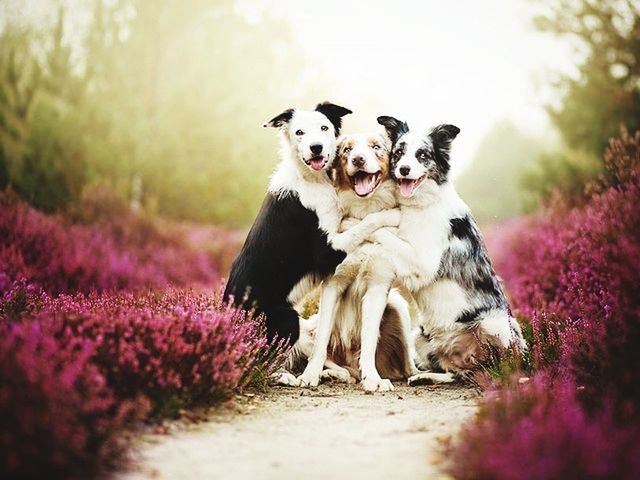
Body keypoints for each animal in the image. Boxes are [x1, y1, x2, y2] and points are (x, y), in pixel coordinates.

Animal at [298, 133, 418, 392]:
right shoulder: (333, 283)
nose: (358, 159)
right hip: (303, 328)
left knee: (407, 366)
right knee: (331, 359)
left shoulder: (377, 287)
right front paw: (309, 375)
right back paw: (333, 374)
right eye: (347, 150)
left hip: (398, 306)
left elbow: (369, 339)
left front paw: (372, 379)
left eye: (376, 147)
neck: (365, 209)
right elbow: (321, 340)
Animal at [372, 116, 528, 378]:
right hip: (420, 336)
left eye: (423, 155)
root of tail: (470, 359)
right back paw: (426, 377)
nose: (404, 169)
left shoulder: (423, 262)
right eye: (399, 152)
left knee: (503, 363)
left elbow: (384, 233)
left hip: (495, 323)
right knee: (450, 371)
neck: (421, 205)